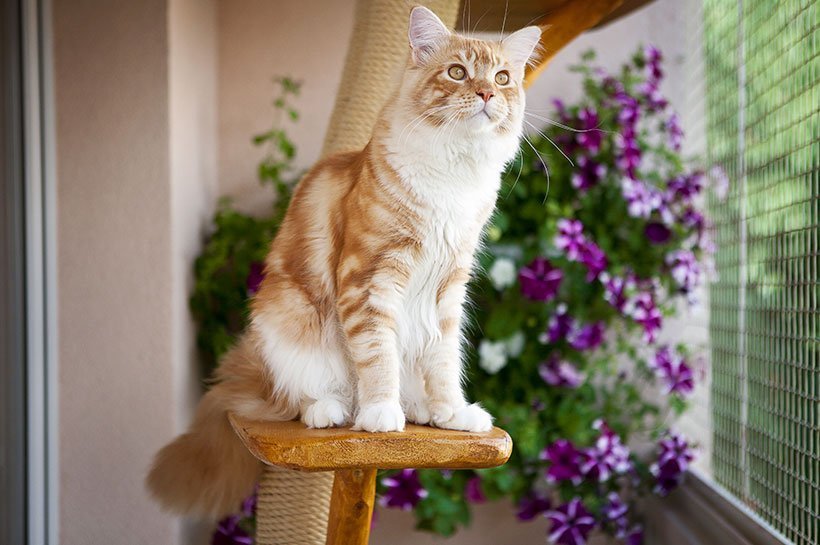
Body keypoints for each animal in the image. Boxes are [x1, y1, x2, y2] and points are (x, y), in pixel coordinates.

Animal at [147, 6, 540, 516]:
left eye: (502, 77)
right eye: (457, 72)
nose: (487, 93)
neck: (454, 177)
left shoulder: (448, 288)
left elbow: (443, 360)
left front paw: (452, 411)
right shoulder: (369, 277)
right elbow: (377, 354)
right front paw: (380, 413)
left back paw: (420, 409)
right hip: (285, 318)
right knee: (301, 397)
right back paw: (335, 410)